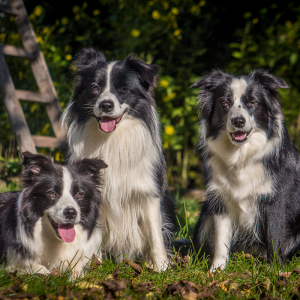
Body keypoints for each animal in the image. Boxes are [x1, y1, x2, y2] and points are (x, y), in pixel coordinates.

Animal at [191, 69, 300, 270]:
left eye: (252, 102)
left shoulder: (274, 199)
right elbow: (221, 240)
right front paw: (217, 270)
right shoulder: (221, 199)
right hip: (205, 214)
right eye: (225, 102)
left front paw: (276, 270)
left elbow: (274, 235)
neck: (241, 155)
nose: (238, 121)